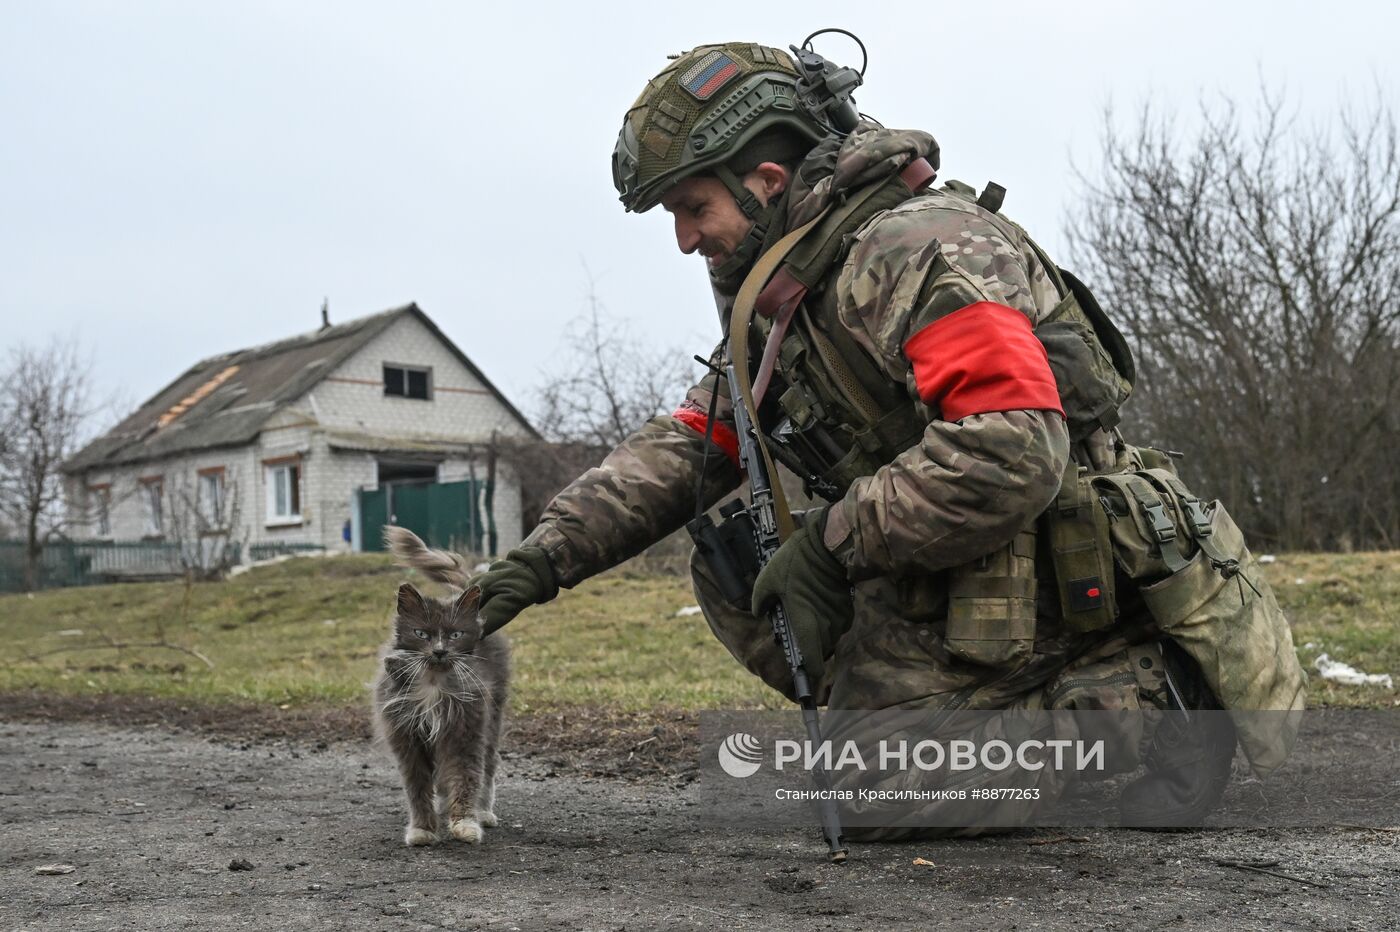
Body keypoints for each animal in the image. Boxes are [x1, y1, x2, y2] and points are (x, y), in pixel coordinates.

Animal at [375, 526, 512, 845]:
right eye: (421, 634)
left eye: (455, 635)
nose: (439, 651)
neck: (433, 682)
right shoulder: (408, 738)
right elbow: (418, 788)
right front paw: (423, 828)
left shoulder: (466, 731)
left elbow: (467, 778)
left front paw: (465, 823)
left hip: (493, 718)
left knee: (488, 766)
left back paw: (483, 812)